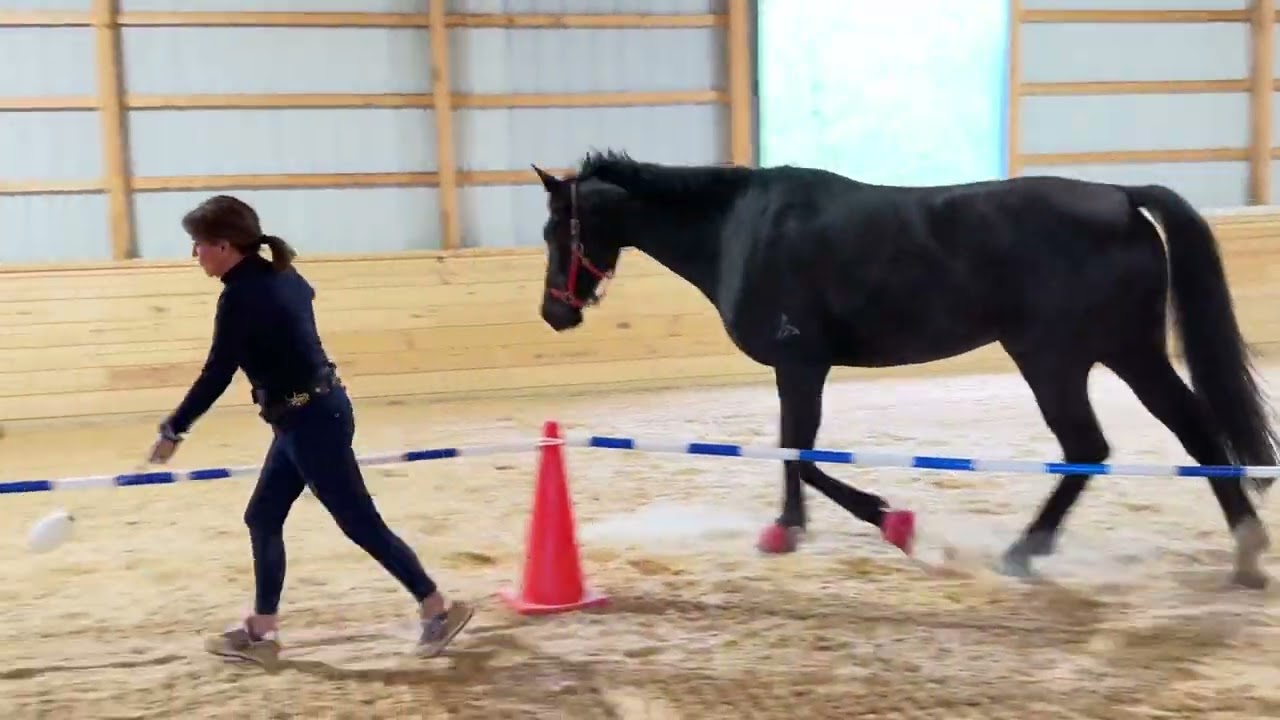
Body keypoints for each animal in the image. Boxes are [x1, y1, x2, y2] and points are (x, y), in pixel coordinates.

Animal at [529, 150, 1279, 588]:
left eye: (554, 230)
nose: (553, 313)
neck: (740, 229)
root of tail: (1122, 197)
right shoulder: (798, 369)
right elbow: (795, 451)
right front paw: (797, 528)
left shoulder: (802, 362)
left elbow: (799, 453)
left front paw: (886, 522)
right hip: (1126, 352)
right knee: (1189, 431)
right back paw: (1244, 551)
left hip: (1057, 358)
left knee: (1091, 446)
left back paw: (1024, 551)